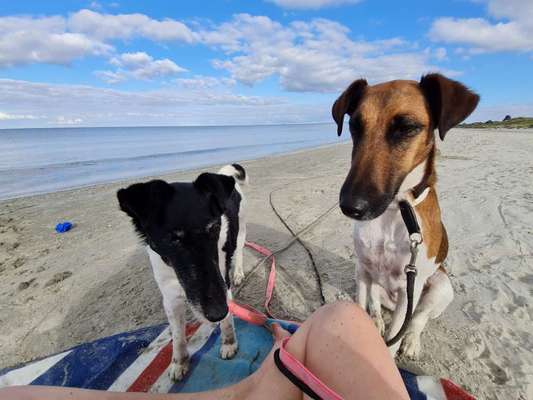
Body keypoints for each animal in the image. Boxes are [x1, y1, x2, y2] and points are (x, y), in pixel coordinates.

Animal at [117, 164, 246, 380]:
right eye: (173, 239)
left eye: (214, 228)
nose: (217, 312)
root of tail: (225, 175)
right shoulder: (170, 298)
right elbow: (177, 336)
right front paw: (179, 362)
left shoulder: (223, 284)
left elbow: (228, 320)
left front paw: (229, 343)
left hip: (240, 231)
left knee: (239, 252)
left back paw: (237, 272)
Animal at [332, 73, 478, 358]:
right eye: (354, 126)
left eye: (407, 128)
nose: (350, 207)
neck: (394, 211)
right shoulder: (363, 271)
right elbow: (362, 306)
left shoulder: (408, 288)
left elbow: (394, 338)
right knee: (376, 303)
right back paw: (377, 320)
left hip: (439, 286)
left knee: (419, 317)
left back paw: (411, 341)